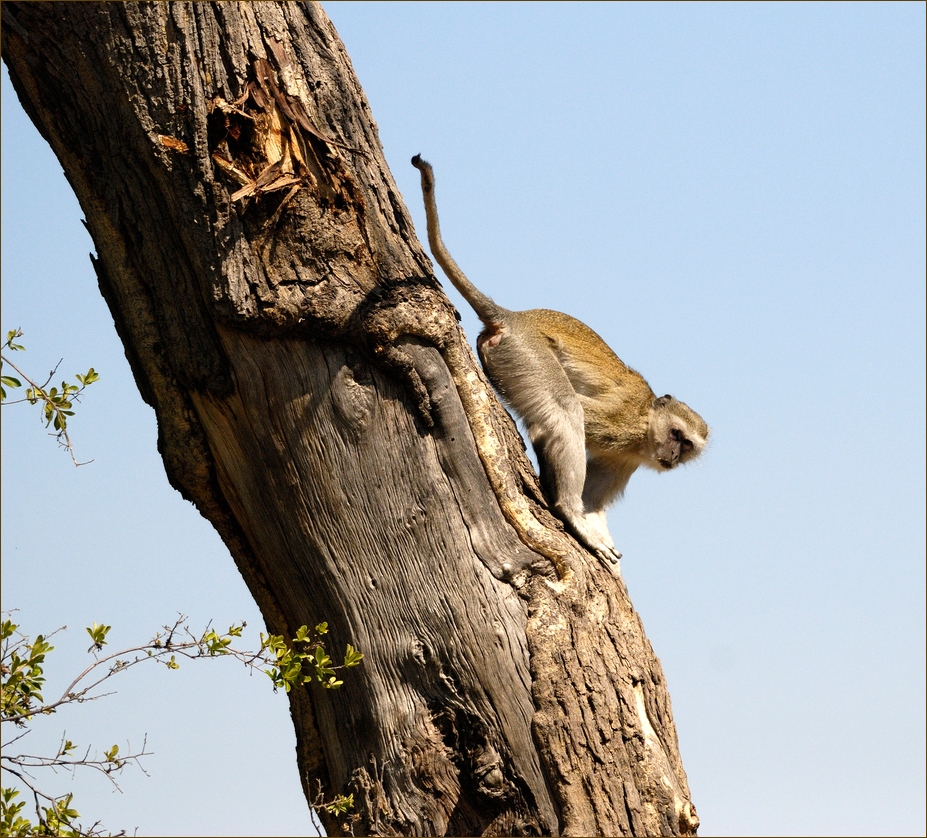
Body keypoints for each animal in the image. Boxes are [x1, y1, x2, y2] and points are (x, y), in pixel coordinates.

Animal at [410, 156, 708, 564]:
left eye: (688, 446)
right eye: (677, 435)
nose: (674, 454)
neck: (646, 428)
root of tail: (514, 318)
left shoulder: (626, 459)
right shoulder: (621, 426)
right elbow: (559, 424)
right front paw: (576, 515)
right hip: (526, 354)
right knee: (565, 408)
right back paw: (568, 509)